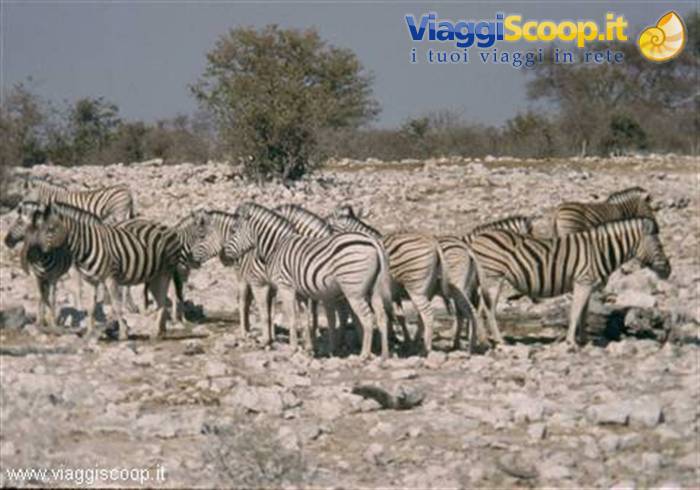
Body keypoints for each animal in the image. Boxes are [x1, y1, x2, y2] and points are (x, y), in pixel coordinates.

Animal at [4, 201, 73, 331]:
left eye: (19, 222)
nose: (6, 241)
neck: (43, 259)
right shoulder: (36, 277)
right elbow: (40, 297)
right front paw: (39, 322)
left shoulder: (53, 278)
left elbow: (51, 298)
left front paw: (53, 323)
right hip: (41, 278)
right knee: (42, 295)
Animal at [25, 202, 179, 340]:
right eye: (37, 229)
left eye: (50, 229)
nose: (30, 255)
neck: (86, 246)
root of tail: (165, 226)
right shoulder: (89, 281)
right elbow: (90, 307)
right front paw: (89, 334)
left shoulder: (110, 278)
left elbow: (116, 306)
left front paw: (123, 334)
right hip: (154, 275)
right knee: (161, 302)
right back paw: (160, 331)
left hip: (165, 272)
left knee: (163, 301)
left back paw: (155, 332)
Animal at [216, 202, 394, 359]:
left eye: (233, 230)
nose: (223, 256)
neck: (278, 246)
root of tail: (373, 242)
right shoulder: (302, 292)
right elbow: (306, 319)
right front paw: (308, 348)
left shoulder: (285, 286)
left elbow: (293, 318)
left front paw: (293, 348)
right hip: (373, 289)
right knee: (382, 317)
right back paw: (384, 354)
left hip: (353, 291)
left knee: (367, 318)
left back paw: (364, 355)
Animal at [469, 217, 671, 345]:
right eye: (659, 245)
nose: (669, 270)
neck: (600, 251)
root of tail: (477, 239)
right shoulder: (582, 281)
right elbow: (575, 313)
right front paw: (571, 343)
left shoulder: (589, 285)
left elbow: (584, 314)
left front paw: (584, 341)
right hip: (494, 277)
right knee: (488, 309)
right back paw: (499, 341)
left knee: (480, 308)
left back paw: (484, 340)